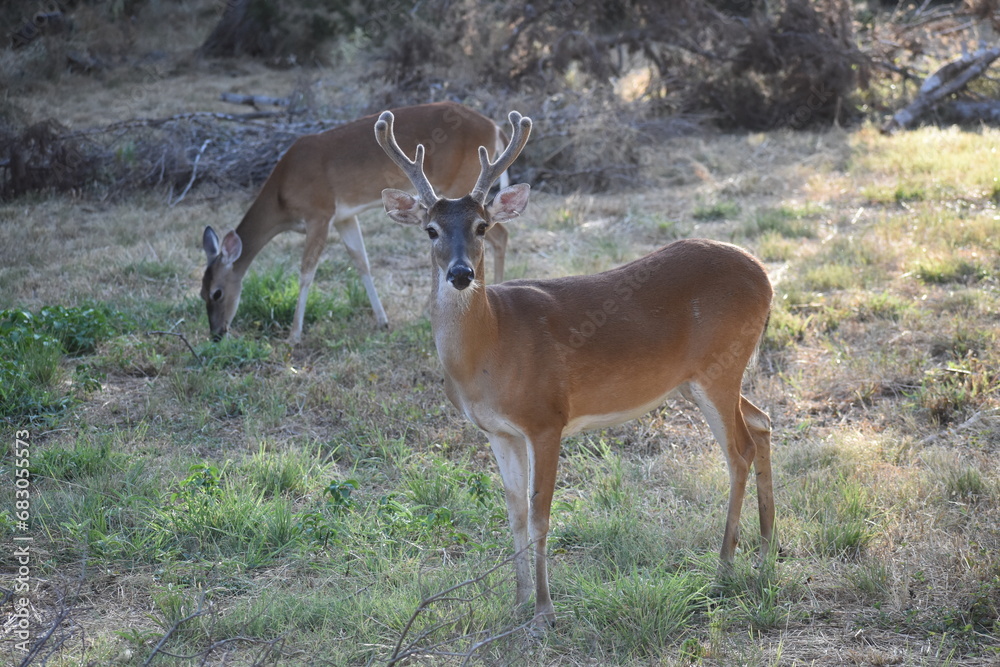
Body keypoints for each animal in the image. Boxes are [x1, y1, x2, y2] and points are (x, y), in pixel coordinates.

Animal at [200, 102, 512, 343]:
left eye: (217, 293)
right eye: (201, 292)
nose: (216, 334)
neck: (282, 195)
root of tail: (495, 128)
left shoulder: (320, 213)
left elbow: (306, 272)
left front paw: (294, 335)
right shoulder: (345, 217)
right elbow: (361, 262)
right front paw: (383, 321)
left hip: (462, 182)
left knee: (500, 232)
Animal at [374, 109, 777, 630]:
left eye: (482, 226)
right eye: (430, 230)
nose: (461, 274)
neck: (491, 347)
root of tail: (765, 275)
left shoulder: (546, 418)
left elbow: (540, 513)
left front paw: (545, 609)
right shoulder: (497, 431)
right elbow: (513, 513)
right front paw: (518, 601)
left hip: (718, 369)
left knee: (738, 449)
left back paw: (725, 562)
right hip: (700, 378)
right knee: (762, 422)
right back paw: (766, 549)